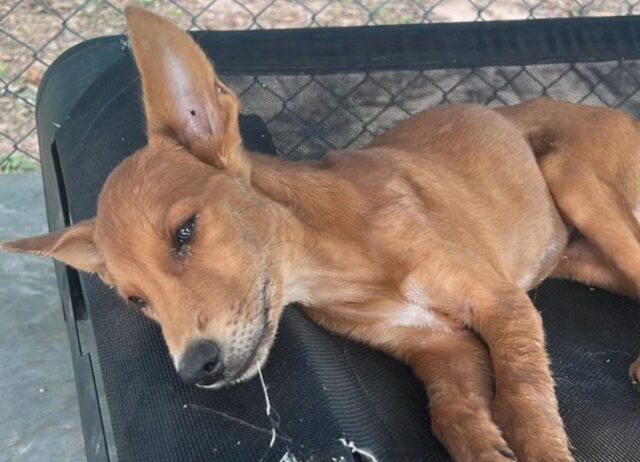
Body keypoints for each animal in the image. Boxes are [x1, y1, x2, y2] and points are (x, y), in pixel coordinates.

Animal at [5, 5, 640, 460]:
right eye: (137, 301)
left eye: (184, 232)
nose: (196, 369)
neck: (343, 259)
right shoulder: (438, 345)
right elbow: (454, 416)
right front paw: (484, 445)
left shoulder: (502, 304)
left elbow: (526, 400)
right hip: (578, 257)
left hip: (570, 176)